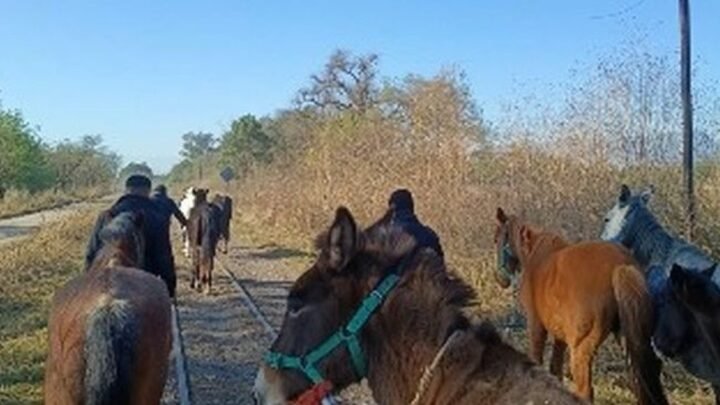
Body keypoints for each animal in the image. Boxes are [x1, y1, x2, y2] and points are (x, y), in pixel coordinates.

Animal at [495, 208, 666, 404]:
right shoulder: (559, 333)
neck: (535, 257)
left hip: (581, 349)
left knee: (586, 391)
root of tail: (620, 265)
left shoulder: (536, 325)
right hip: (630, 342)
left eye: (497, 238)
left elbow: (537, 359)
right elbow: (555, 369)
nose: (500, 279)